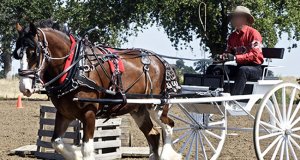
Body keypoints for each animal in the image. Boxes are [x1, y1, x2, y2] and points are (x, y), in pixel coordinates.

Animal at [13, 22, 183, 160]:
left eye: (33, 52)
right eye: (18, 54)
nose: (24, 87)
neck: (76, 67)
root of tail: (162, 61)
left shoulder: (89, 114)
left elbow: (87, 149)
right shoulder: (64, 114)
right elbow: (56, 142)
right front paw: (76, 154)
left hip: (157, 105)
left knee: (168, 126)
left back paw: (168, 155)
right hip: (138, 109)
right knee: (153, 134)